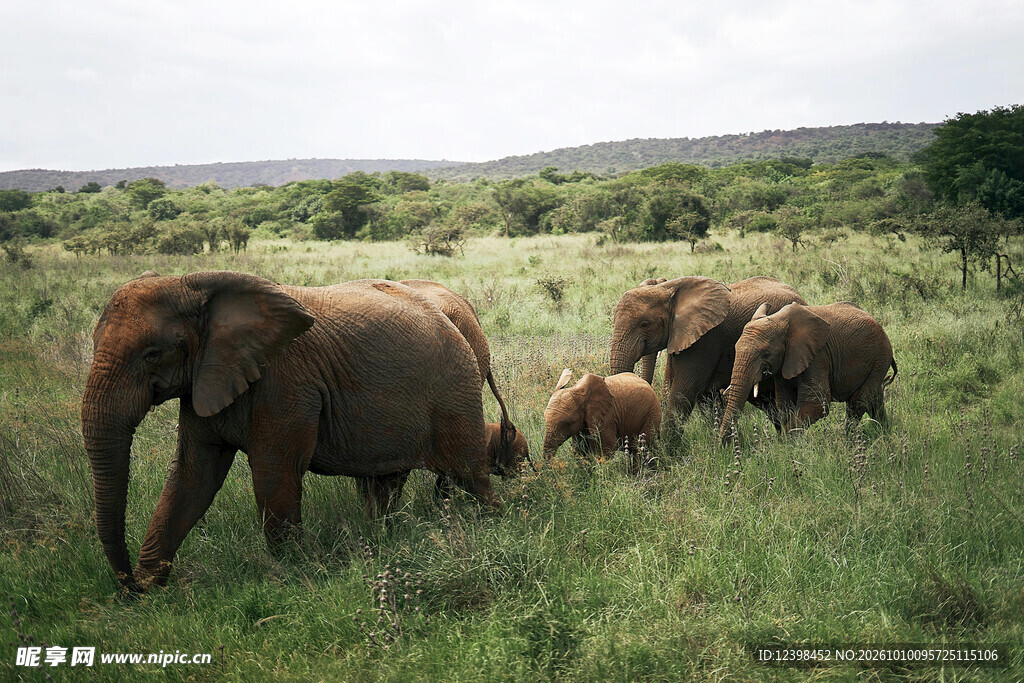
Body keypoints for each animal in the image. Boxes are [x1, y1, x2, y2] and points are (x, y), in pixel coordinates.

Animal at [81, 271, 497, 591]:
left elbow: (273, 471)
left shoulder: (287, 382)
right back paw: (386, 537)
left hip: (455, 387)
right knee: (386, 482)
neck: (197, 287)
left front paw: (294, 575)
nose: (128, 585)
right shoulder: (206, 379)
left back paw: (491, 522)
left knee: (468, 473)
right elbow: (192, 477)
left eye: (153, 354)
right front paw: (151, 590)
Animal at [718, 301, 897, 438]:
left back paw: (849, 442)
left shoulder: (817, 355)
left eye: (766, 354)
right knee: (874, 400)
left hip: (879, 357)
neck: (781, 321)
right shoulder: (786, 362)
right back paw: (885, 433)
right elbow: (785, 404)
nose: (723, 446)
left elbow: (817, 404)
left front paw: (783, 446)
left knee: (858, 403)